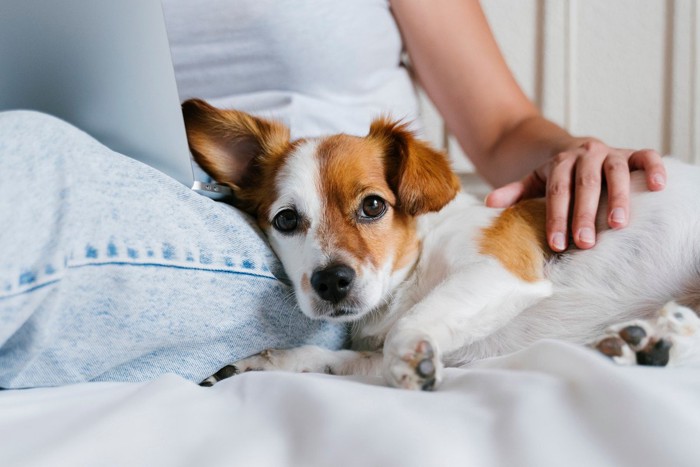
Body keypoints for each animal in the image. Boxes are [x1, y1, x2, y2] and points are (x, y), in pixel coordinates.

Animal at [182, 99, 700, 392]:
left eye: (373, 206)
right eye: (286, 220)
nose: (331, 281)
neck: (412, 272)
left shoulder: (500, 273)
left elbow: (406, 328)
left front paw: (411, 355)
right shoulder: (393, 355)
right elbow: (329, 359)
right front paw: (259, 364)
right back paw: (647, 341)